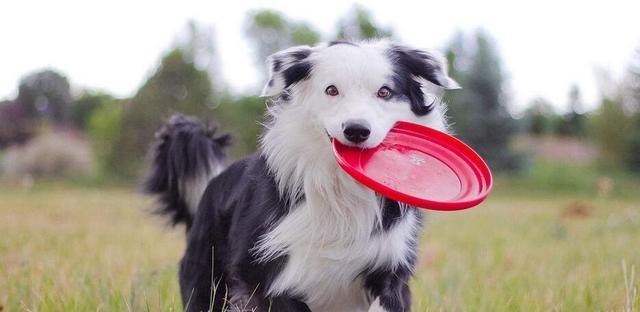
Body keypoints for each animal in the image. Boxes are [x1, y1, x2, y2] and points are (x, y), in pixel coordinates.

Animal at [144, 39, 458, 312]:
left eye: (384, 92)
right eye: (332, 90)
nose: (356, 130)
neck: (340, 190)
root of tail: (213, 182)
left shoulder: (390, 268)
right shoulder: (267, 278)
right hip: (206, 279)